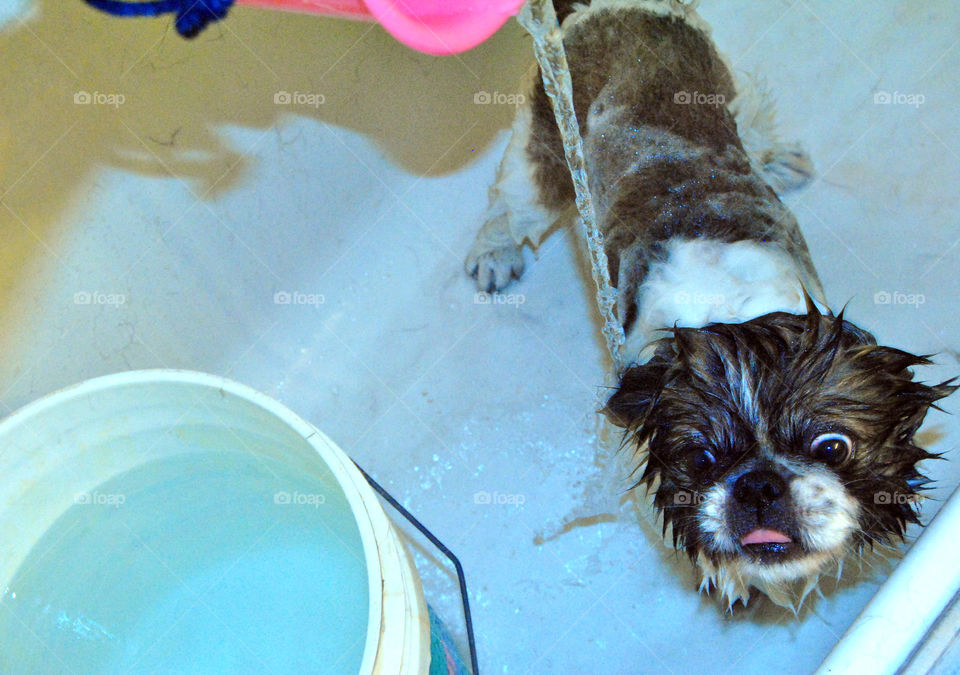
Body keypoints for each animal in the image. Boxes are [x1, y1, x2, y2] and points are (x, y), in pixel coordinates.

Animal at [464, 0, 952, 608]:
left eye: (833, 447)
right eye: (700, 460)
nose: (759, 485)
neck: (730, 314)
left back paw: (775, 159)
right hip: (544, 152)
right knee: (509, 206)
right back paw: (493, 254)